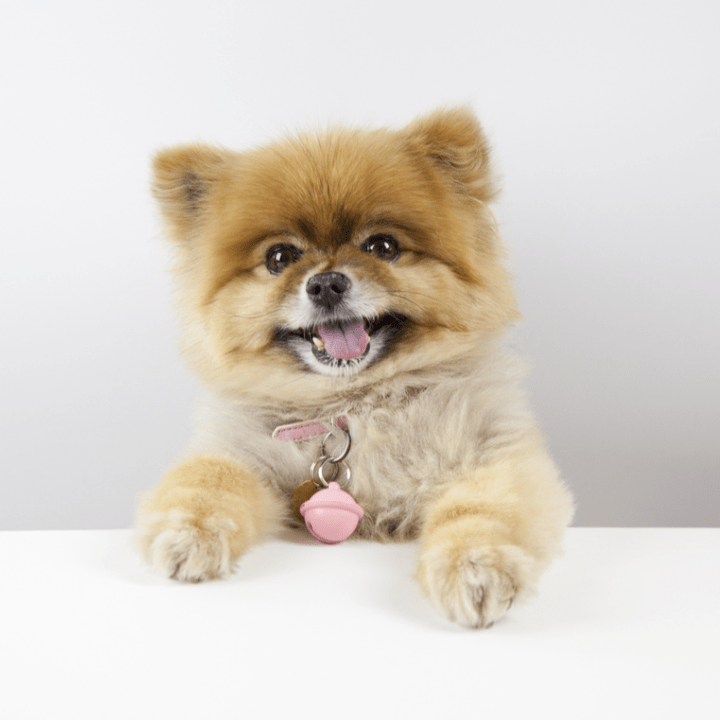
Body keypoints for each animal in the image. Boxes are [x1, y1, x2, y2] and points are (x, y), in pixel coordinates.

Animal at [135, 108, 572, 632]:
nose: (326, 283)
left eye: (382, 246)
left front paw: (474, 568)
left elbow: (481, 510)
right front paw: (187, 534)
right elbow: (208, 479)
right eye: (280, 257)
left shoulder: (494, 455)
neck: (356, 403)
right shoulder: (243, 453)